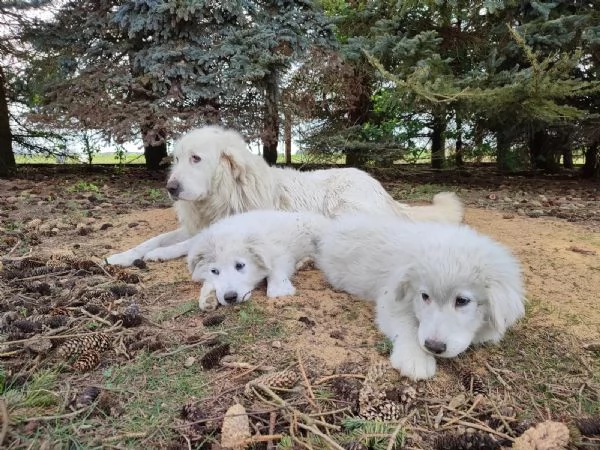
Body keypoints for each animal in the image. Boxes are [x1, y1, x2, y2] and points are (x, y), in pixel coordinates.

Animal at [106, 125, 464, 268]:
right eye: (177, 159)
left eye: (196, 158)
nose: (171, 188)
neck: (226, 191)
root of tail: (385, 194)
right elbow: (153, 239)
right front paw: (122, 256)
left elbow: (186, 244)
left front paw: (158, 256)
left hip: (344, 205)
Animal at [186, 210, 330, 310]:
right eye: (214, 271)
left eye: (240, 265)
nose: (230, 297)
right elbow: (209, 282)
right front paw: (207, 298)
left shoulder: (280, 253)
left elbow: (274, 271)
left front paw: (280, 290)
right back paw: (305, 262)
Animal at [314, 216, 524, 382]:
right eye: (425, 296)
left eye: (462, 301)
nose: (434, 347)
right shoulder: (391, 301)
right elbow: (406, 326)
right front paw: (415, 358)